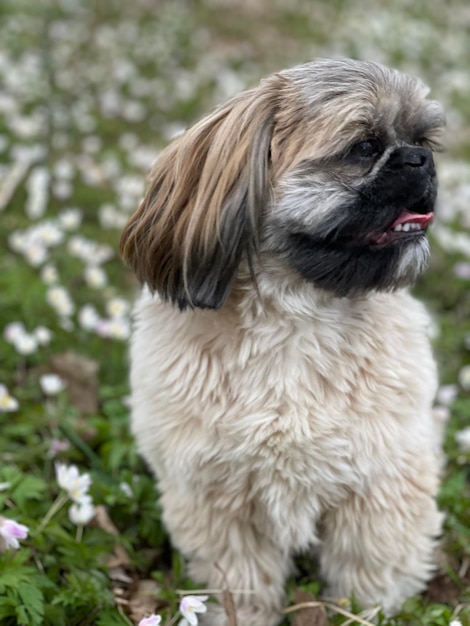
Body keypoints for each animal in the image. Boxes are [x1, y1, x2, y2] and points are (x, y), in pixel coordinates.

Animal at [119, 59, 446, 624]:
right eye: (365, 146)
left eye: (423, 139)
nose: (421, 159)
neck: (297, 313)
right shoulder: (219, 501)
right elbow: (243, 582)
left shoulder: (380, 487)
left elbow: (369, 573)